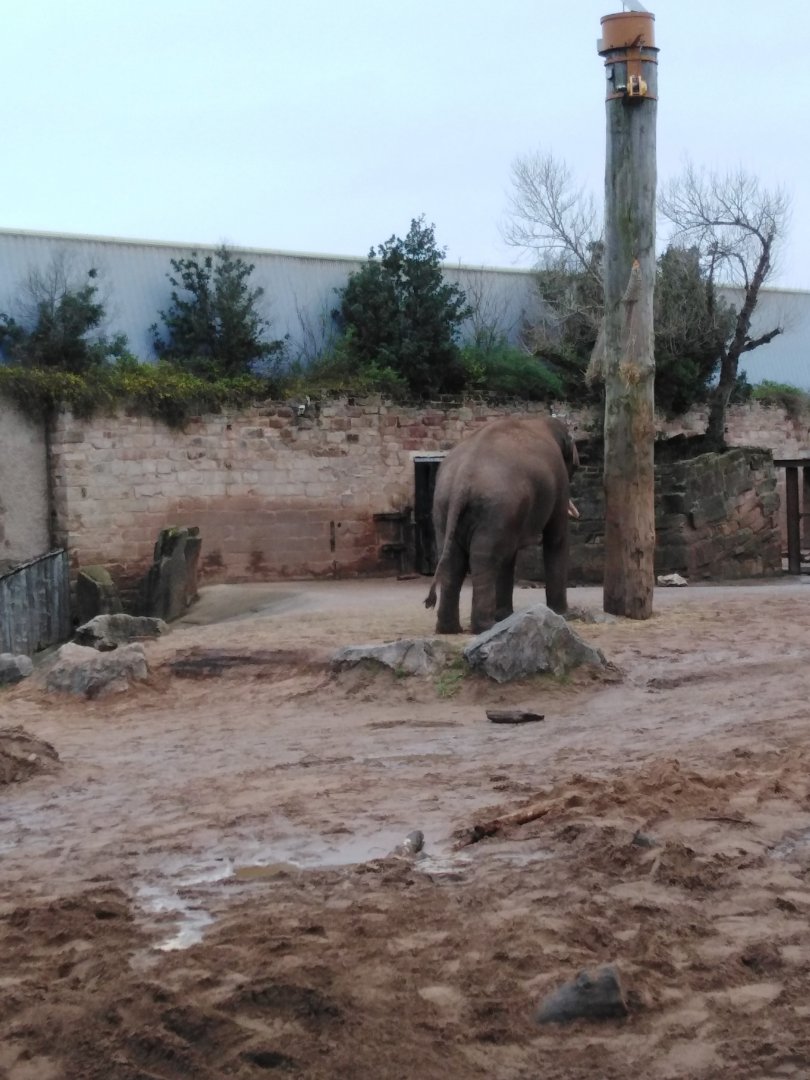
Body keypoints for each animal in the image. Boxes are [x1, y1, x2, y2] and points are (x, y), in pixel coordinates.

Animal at [424, 416, 579, 634]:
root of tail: (461, 481)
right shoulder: (559, 481)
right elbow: (556, 538)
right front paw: (562, 613)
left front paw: (506, 615)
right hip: (496, 507)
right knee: (486, 558)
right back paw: (486, 626)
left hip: (443, 507)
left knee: (454, 560)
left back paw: (450, 629)